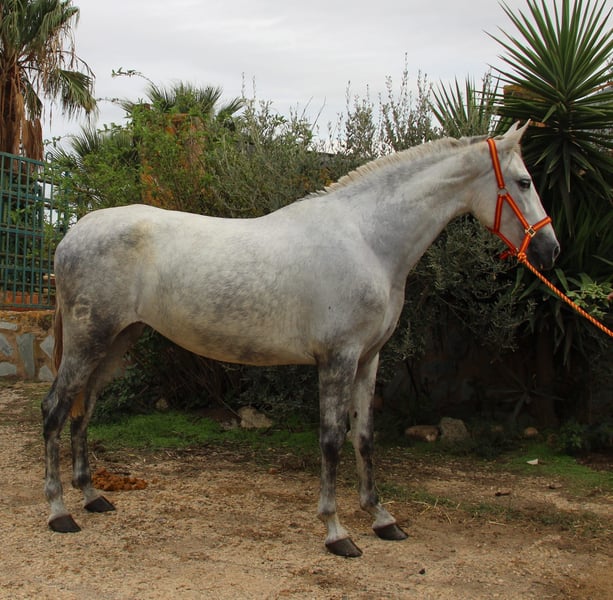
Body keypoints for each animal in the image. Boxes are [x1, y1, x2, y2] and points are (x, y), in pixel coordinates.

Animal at [42, 122, 560, 557]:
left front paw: (382, 519)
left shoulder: (369, 359)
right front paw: (336, 532)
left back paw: (92, 497)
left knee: (83, 409)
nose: (550, 249)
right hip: (90, 341)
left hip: (116, 342)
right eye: (523, 182)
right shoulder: (338, 358)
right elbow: (331, 440)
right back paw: (60, 512)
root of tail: (74, 232)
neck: (368, 239)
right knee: (54, 410)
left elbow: (364, 437)